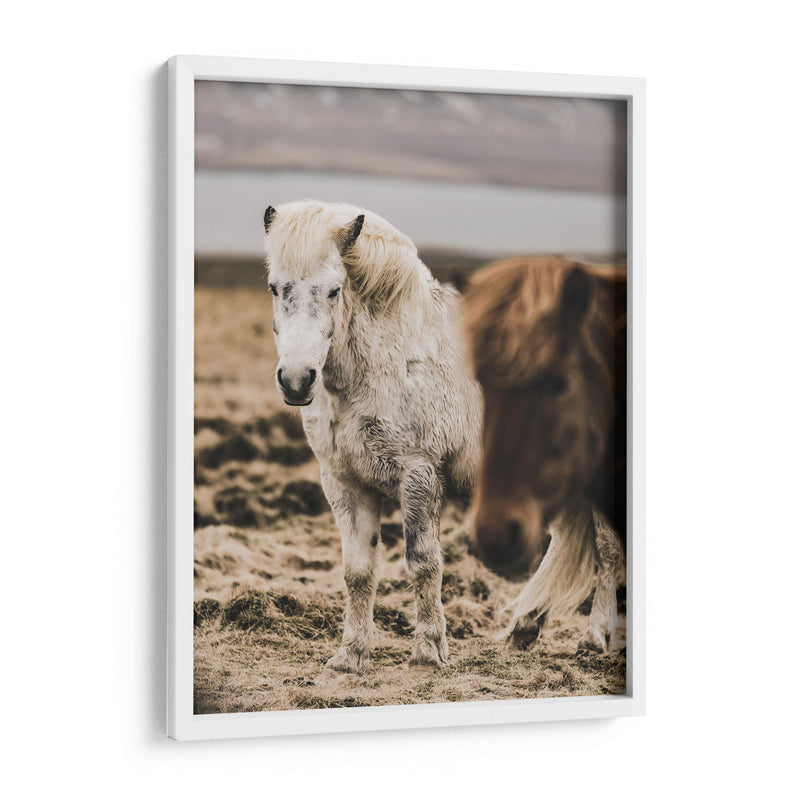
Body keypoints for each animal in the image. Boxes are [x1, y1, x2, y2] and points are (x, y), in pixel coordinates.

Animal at [263, 200, 482, 672]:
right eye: (274, 288)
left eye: (333, 291)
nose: (296, 381)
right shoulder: (345, 484)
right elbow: (358, 571)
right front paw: (351, 654)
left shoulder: (420, 478)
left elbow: (423, 564)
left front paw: (429, 652)